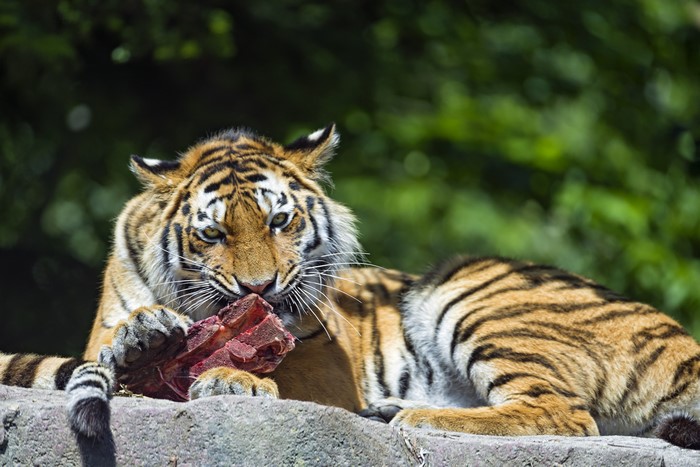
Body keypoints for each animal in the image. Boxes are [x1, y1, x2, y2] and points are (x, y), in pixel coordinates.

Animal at [1, 124, 699, 449]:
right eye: (214, 234)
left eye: (279, 221)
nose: (260, 287)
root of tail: (687, 345)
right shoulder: (96, 336)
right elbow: (113, 346)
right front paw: (144, 338)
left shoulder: (325, 361)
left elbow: (284, 376)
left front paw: (231, 378)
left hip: (470, 290)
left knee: (565, 413)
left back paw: (415, 415)